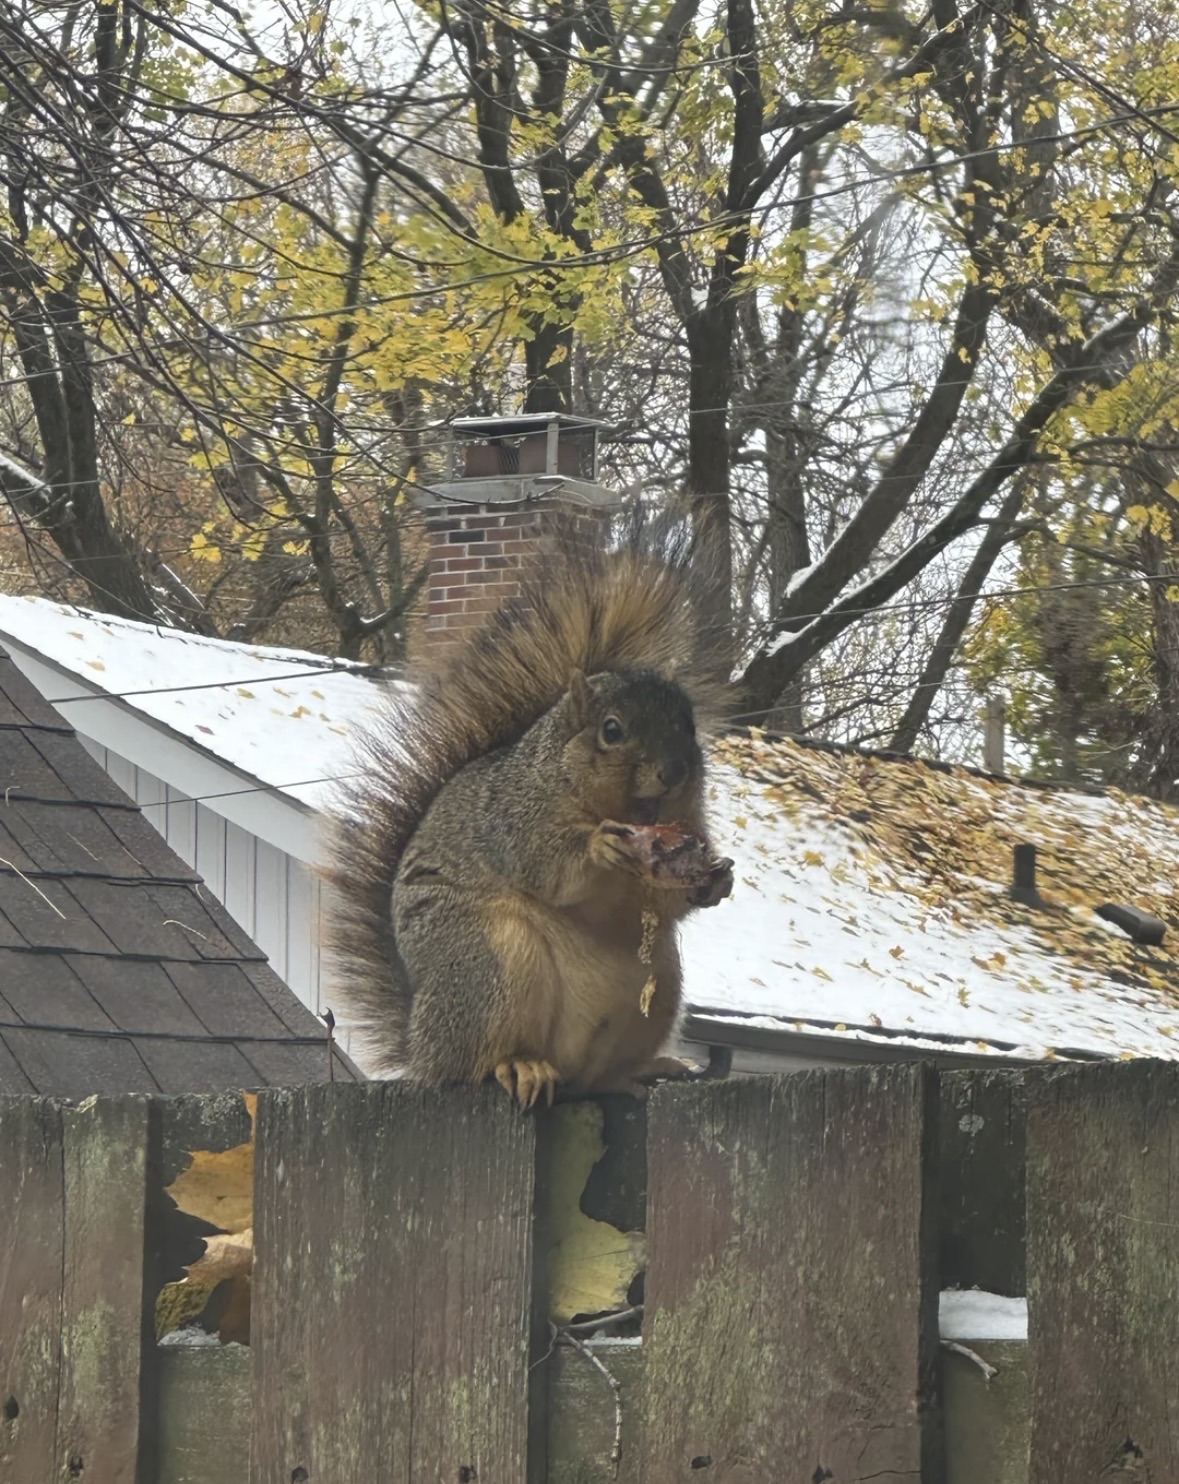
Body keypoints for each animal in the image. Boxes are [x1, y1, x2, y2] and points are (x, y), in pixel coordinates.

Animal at [324, 534, 733, 1109]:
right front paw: (599, 848)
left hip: (659, 988)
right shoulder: (514, 816)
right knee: (476, 1061)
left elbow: (666, 902)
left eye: (690, 728)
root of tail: (421, 1048)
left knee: (598, 1077)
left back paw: (644, 1071)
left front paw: (715, 881)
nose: (674, 771)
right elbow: (545, 866)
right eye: (611, 730)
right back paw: (521, 1066)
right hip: (489, 963)